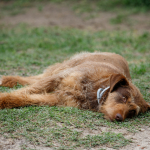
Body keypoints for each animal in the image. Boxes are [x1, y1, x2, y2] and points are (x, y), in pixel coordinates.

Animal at [0, 52, 150, 121]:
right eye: (124, 98)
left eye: (132, 111)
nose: (120, 118)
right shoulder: (57, 78)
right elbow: (28, 89)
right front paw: (2, 98)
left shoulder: (60, 98)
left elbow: (27, 98)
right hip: (64, 67)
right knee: (38, 77)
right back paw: (9, 79)